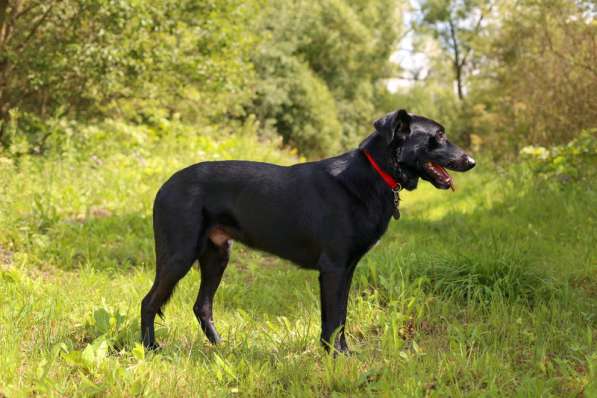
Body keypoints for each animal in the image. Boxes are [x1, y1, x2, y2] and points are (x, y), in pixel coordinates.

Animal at [141, 108, 474, 352]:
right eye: (438, 136)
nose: (471, 161)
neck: (372, 174)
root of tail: (164, 186)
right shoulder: (334, 268)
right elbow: (334, 319)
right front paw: (337, 357)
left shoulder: (346, 270)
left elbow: (338, 317)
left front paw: (336, 354)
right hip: (180, 255)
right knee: (149, 301)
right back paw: (150, 348)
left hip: (217, 256)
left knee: (202, 306)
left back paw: (220, 346)